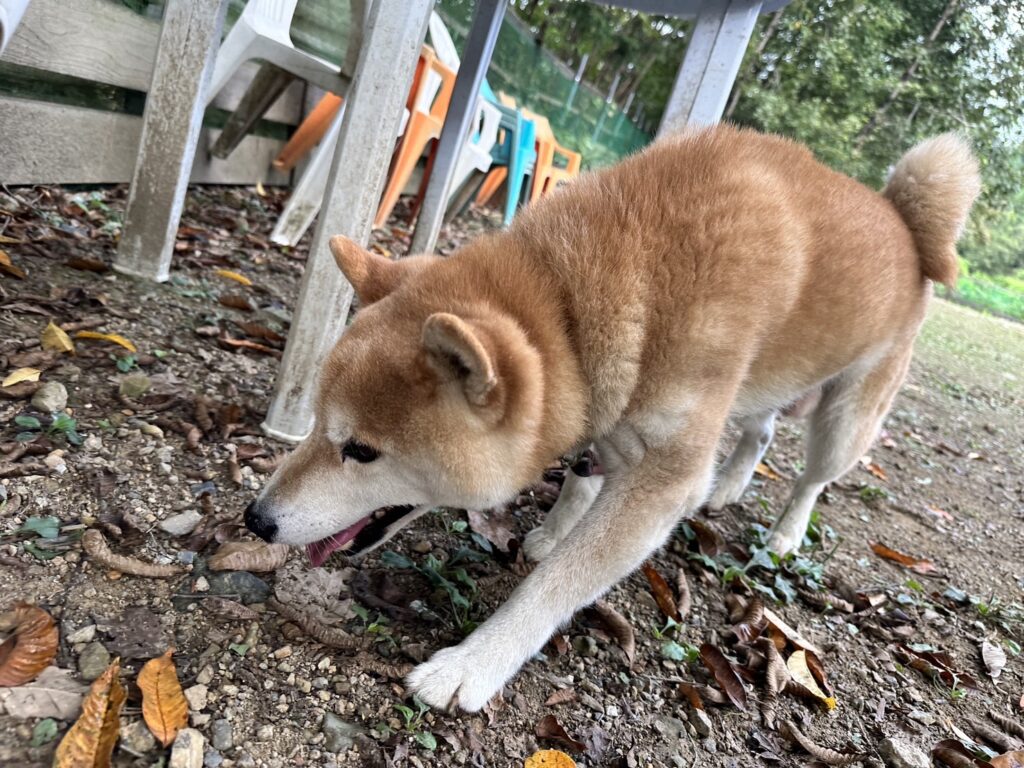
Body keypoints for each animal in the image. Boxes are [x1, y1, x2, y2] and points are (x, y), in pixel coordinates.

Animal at [245, 125, 980, 711]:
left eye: (362, 451)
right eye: (313, 422)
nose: (255, 520)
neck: (576, 302)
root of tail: (903, 221)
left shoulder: (665, 478)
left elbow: (555, 586)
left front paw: (473, 664)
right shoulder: (608, 401)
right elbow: (581, 471)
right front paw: (556, 527)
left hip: (847, 413)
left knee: (813, 477)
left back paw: (785, 534)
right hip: (767, 384)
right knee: (761, 431)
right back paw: (730, 486)